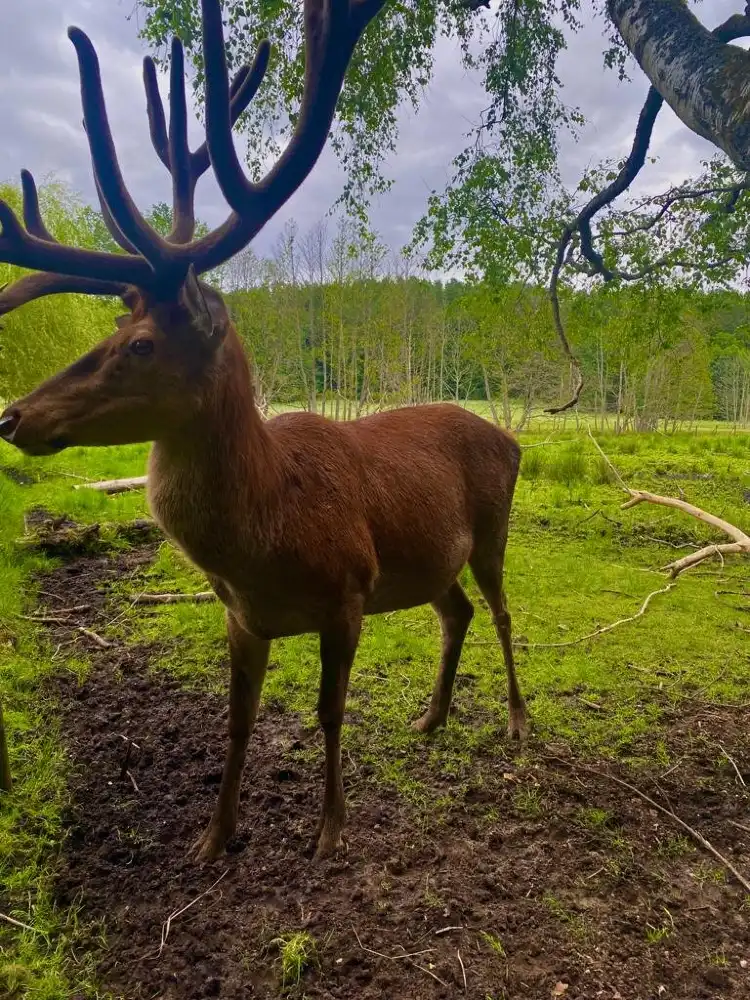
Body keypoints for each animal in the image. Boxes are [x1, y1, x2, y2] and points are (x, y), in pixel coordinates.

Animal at [0, 0, 528, 860]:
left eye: (141, 345)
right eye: (115, 329)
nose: (13, 414)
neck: (266, 535)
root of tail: (515, 439)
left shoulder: (349, 591)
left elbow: (327, 713)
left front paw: (330, 829)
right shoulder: (241, 616)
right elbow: (238, 724)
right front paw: (214, 837)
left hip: (492, 527)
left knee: (505, 612)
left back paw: (517, 718)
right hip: (430, 556)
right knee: (458, 612)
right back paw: (430, 715)